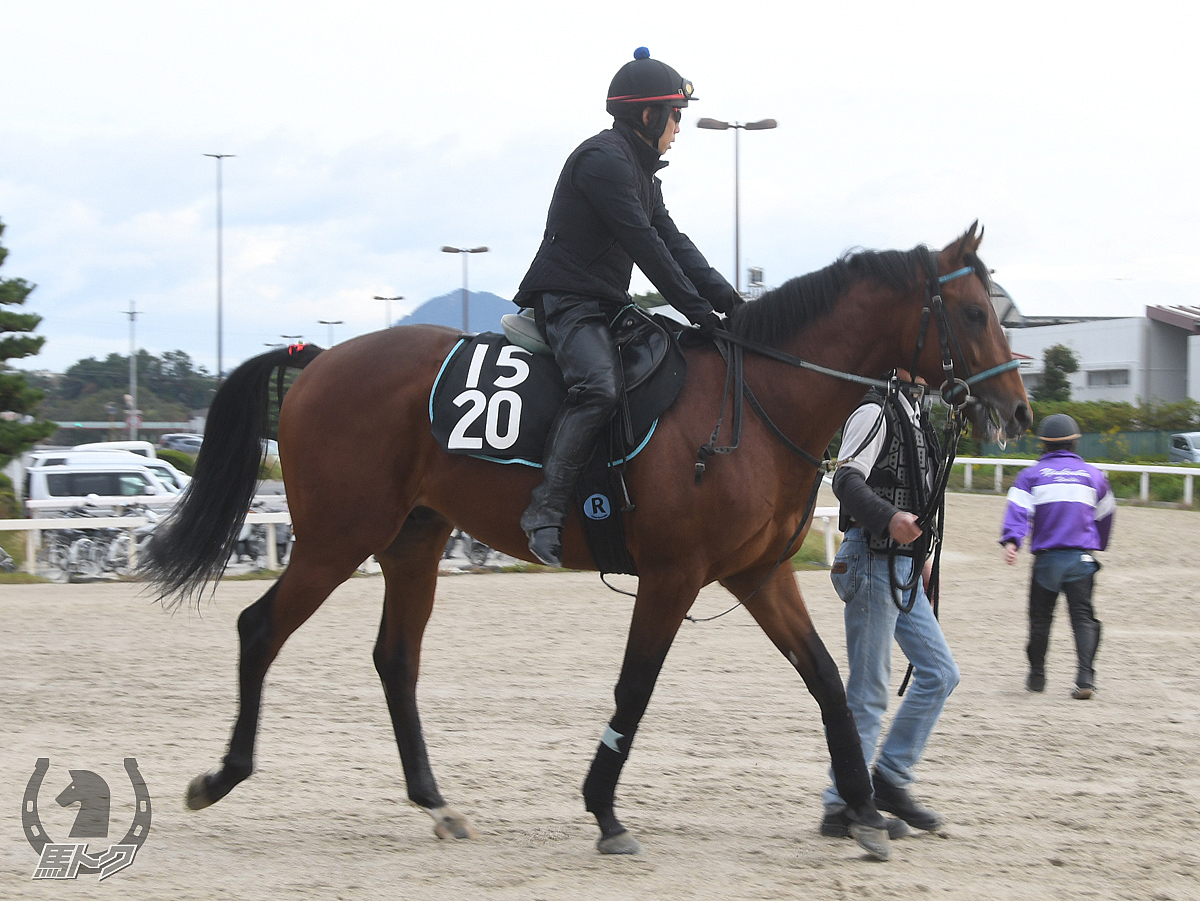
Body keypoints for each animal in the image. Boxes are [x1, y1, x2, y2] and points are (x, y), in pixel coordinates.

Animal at [145, 224, 1032, 859]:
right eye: (976, 312)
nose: (1019, 410)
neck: (756, 399)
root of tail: (323, 357)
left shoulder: (757, 575)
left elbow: (825, 680)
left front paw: (865, 808)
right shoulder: (674, 576)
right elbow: (634, 688)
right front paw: (605, 809)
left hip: (412, 541)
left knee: (395, 658)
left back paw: (437, 802)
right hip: (337, 537)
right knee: (260, 627)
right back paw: (222, 774)